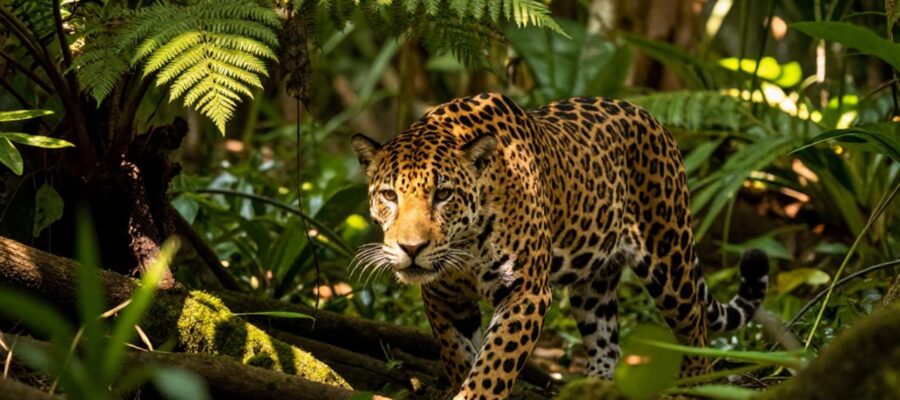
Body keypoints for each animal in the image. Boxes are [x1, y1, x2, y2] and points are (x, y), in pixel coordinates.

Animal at [350, 92, 769, 400]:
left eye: (443, 195)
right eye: (389, 195)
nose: (411, 248)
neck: (465, 243)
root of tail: (648, 115)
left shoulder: (527, 293)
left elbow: (493, 365)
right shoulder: (443, 296)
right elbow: (458, 355)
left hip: (668, 253)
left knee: (695, 325)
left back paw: (695, 385)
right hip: (594, 282)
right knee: (606, 339)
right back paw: (595, 386)